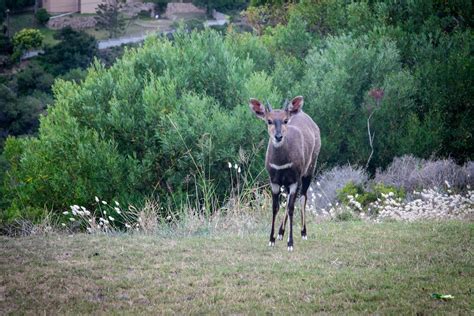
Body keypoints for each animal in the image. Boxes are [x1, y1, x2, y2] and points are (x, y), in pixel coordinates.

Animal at [248, 95, 322, 251]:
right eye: (269, 120)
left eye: (285, 120)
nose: (278, 136)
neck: (281, 163)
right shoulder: (274, 181)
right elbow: (275, 207)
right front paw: (272, 239)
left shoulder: (294, 180)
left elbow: (291, 207)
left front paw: (290, 243)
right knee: (289, 200)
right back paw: (281, 233)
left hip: (309, 169)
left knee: (303, 197)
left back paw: (303, 232)